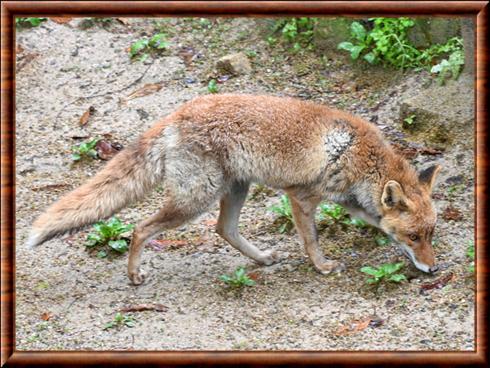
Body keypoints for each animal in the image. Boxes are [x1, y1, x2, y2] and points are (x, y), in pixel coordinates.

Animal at [25, 94, 440, 284]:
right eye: (415, 235)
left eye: (429, 234)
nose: (435, 269)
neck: (358, 156)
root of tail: (177, 113)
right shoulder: (301, 196)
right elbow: (311, 240)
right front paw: (322, 267)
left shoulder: (350, 203)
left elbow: (375, 223)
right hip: (195, 200)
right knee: (141, 228)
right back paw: (134, 274)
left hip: (235, 189)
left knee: (223, 229)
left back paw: (261, 260)